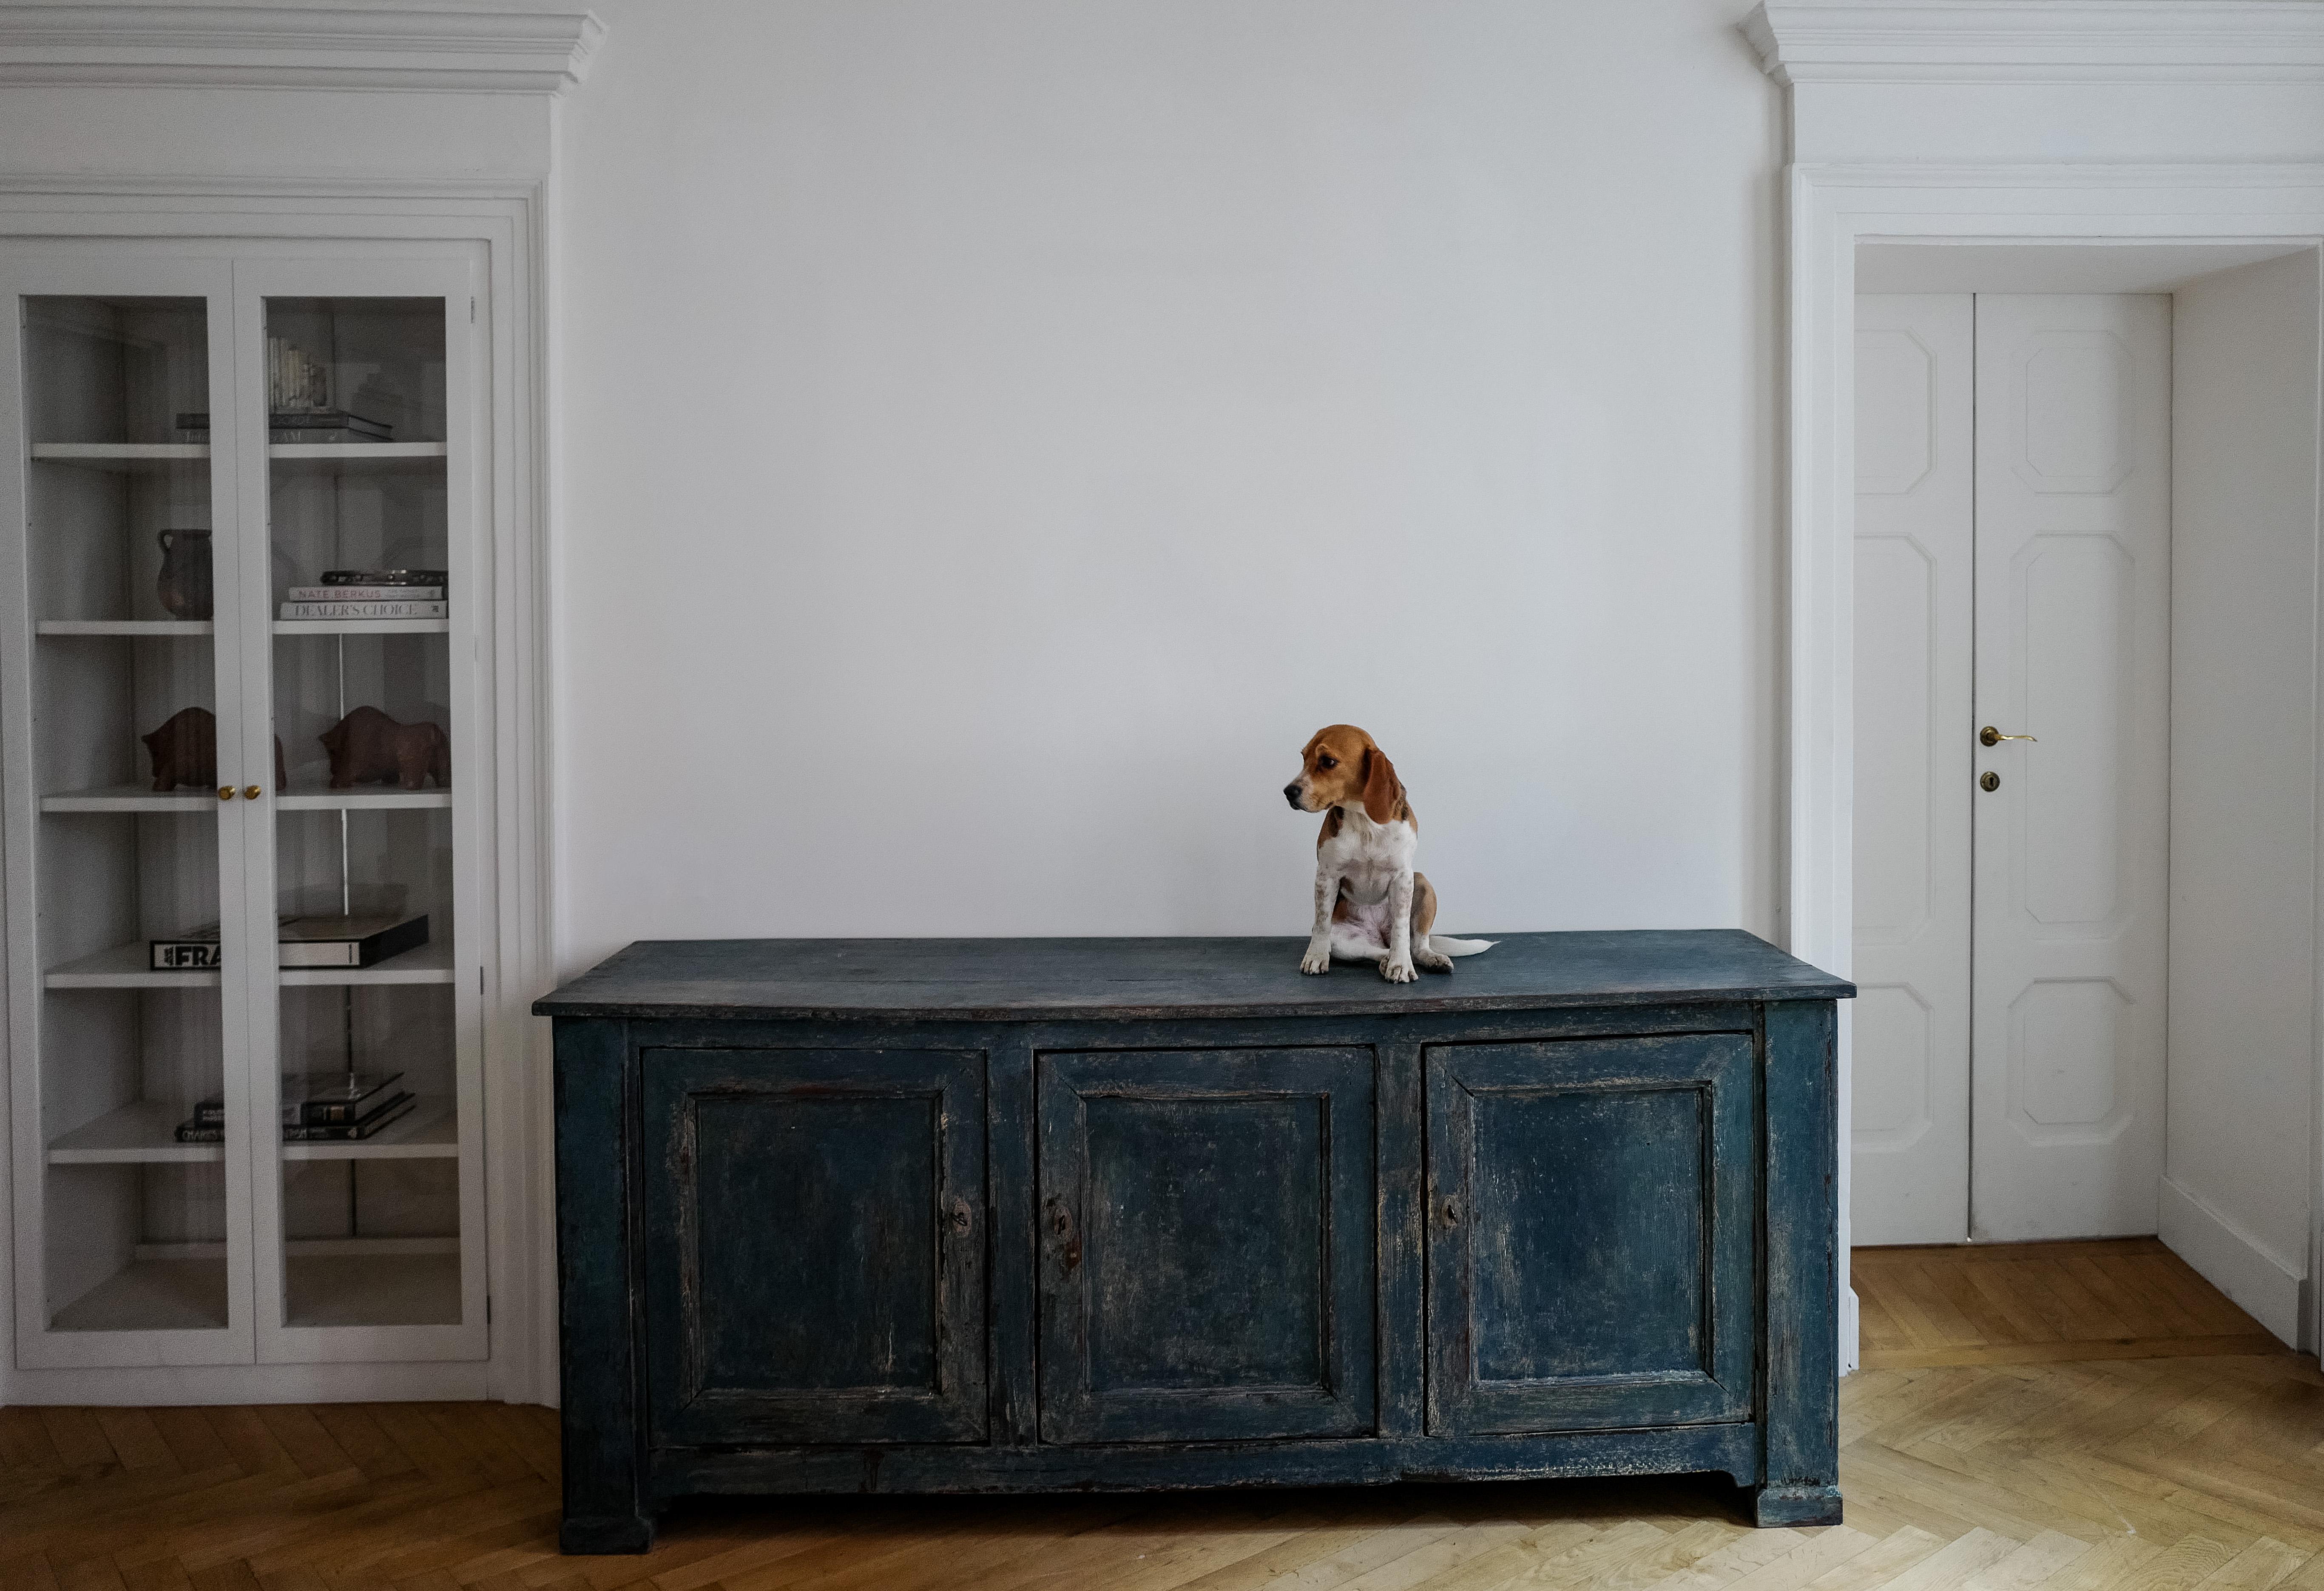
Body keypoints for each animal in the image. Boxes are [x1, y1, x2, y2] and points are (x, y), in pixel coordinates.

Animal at [1283, 724, 1497, 975]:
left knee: (1415, 946)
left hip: (1421, 882)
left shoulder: (1403, 878)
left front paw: (1401, 965)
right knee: (1376, 951)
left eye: (1328, 761)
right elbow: (1322, 922)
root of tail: (1379, 934)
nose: (1289, 792)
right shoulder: (1327, 876)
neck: (1365, 822)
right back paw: (1386, 960)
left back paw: (1426, 958)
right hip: (1344, 942)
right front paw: (1316, 957)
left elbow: (1401, 930)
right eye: (1304, 758)